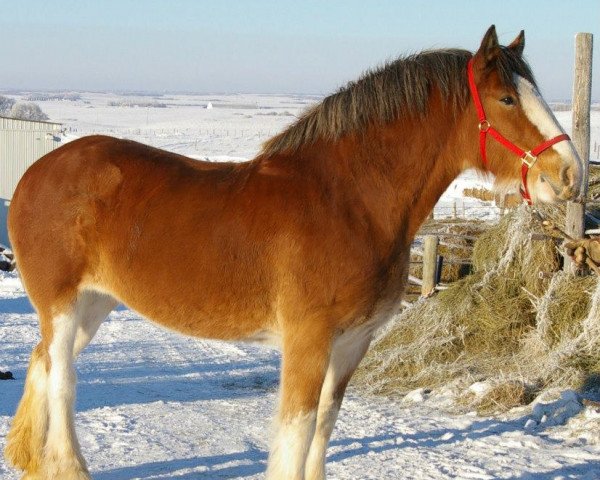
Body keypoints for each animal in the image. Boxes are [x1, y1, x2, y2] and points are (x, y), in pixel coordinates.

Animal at [1, 25, 580, 480]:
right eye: (507, 100)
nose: (570, 174)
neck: (349, 200)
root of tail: (36, 172)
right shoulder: (308, 340)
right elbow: (296, 433)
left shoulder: (351, 345)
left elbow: (322, 428)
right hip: (63, 306)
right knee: (63, 382)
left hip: (93, 306)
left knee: (43, 364)